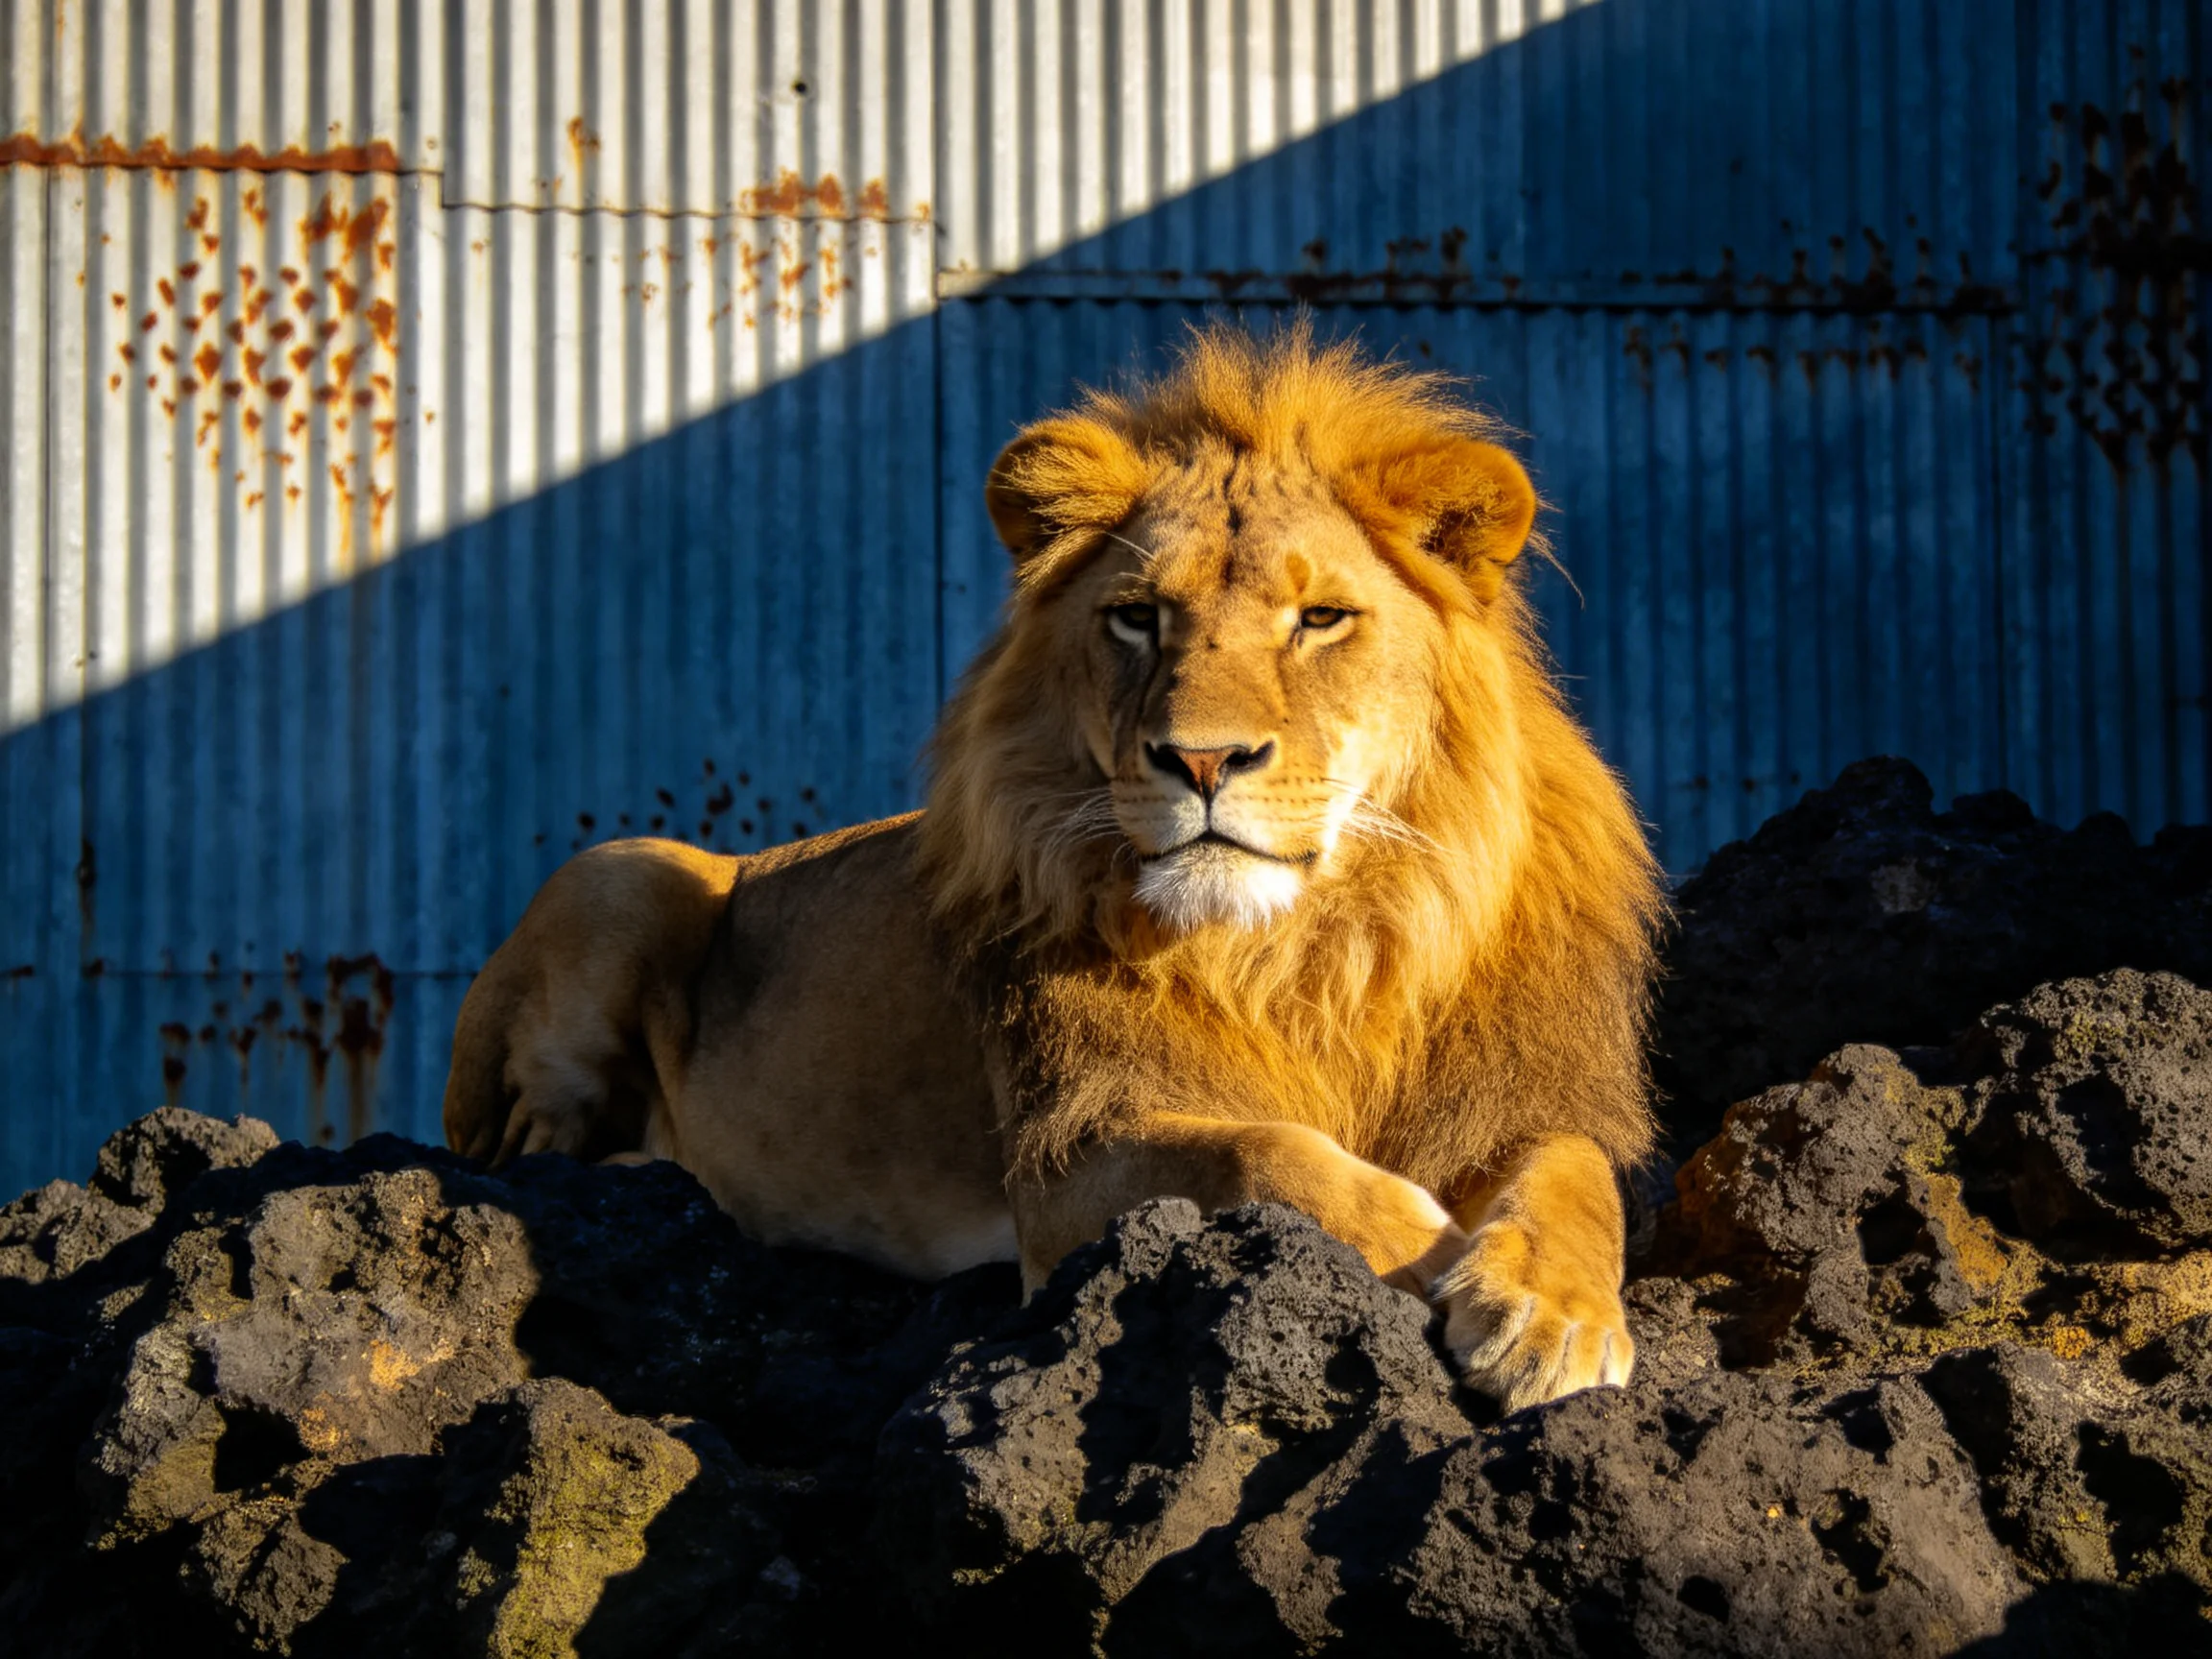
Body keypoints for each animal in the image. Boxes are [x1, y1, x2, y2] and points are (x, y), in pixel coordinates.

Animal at [444, 321, 1664, 1410]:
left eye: (1321, 617)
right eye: (1137, 617)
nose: (1202, 759)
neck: (1305, 947)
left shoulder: (1511, 1095)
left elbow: (1574, 1174)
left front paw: (1551, 1317)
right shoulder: (1067, 1162)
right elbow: (1267, 1153)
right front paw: (1423, 1235)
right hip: (621, 869)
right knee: (522, 1155)